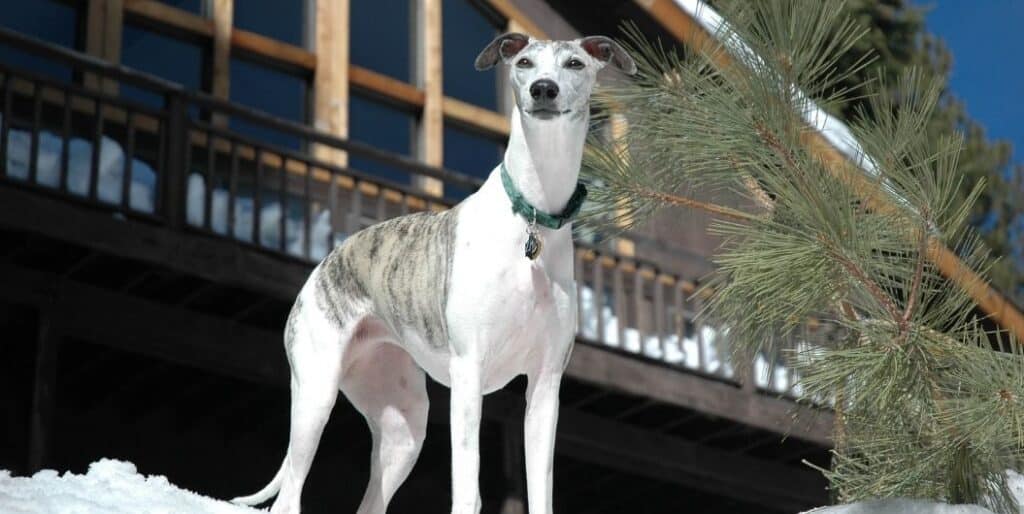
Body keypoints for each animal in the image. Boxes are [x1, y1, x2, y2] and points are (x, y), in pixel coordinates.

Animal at [232, 33, 634, 514]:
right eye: (524, 62)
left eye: (575, 64)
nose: (543, 90)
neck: (533, 215)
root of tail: (325, 263)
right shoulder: (468, 373)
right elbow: (466, 485)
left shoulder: (545, 386)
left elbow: (539, 489)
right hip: (316, 393)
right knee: (289, 491)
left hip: (404, 429)